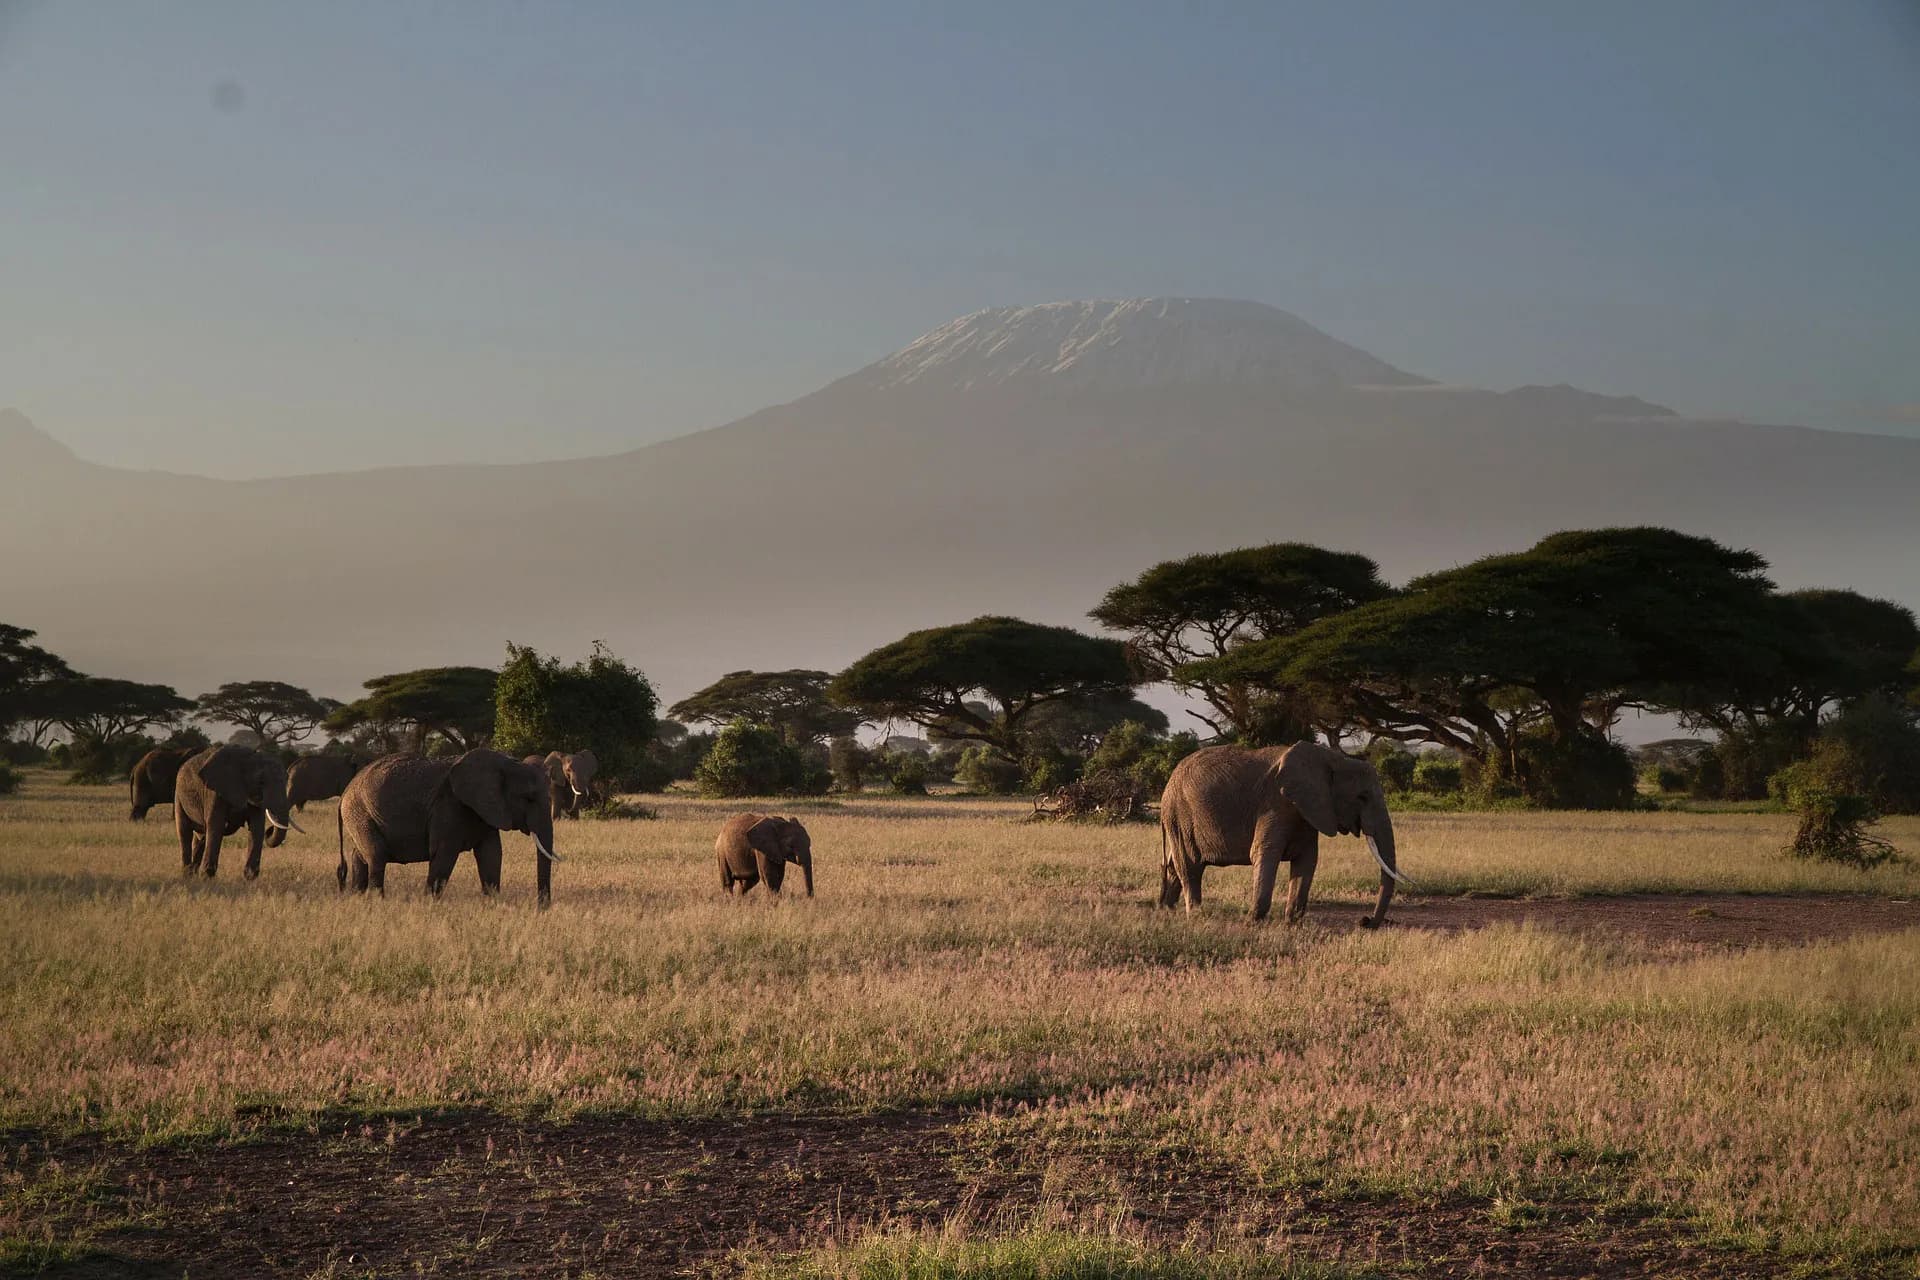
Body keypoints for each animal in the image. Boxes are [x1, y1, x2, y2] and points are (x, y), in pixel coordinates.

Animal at [174, 744, 301, 880]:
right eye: (260, 781)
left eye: (287, 778)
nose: (270, 830)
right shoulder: (214, 792)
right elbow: (216, 826)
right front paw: (207, 876)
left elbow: (257, 828)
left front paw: (250, 877)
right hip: (178, 795)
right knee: (185, 832)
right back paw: (188, 875)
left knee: (201, 838)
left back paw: (193, 874)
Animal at [339, 749, 560, 904]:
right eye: (528, 798)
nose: (542, 907)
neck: (504, 763)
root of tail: (344, 794)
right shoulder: (448, 806)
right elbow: (444, 853)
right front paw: (429, 905)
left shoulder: (487, 809)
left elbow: (491, 854)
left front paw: (492, 905)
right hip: (360, 813)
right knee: (377, 856)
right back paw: (377, 901)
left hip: (359, 816)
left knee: (361, 858)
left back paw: (357, 899)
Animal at [1158, 741, 1405, 927]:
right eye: (1362, 797)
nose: (1365, 921)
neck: (1331, 758)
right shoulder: (1275, 804)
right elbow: (1264, 853)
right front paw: (1252, 922)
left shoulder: (1307, 811)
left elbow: (1307, 860)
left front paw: (1292, 924)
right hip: (1179, 815)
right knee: (1190, 865)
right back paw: (1196, 917)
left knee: (1176, 866)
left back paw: (1168, 911)